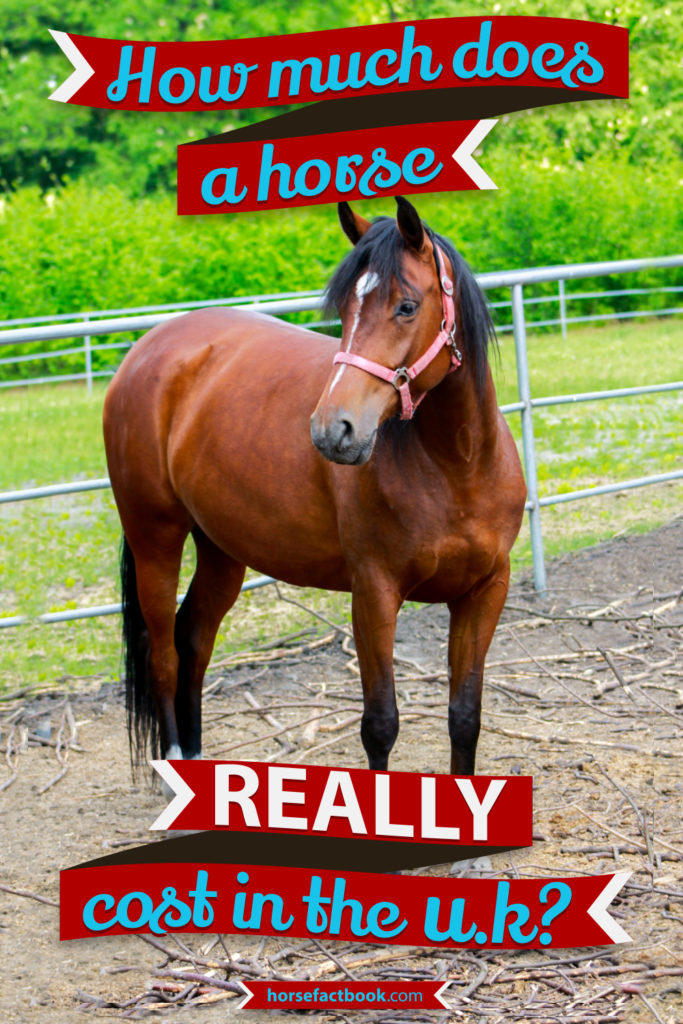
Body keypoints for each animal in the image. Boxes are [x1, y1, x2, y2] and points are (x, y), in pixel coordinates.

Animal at [103, 196, 526, 778]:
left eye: (407, 307)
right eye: (345, 313)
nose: (333, 430)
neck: (457, 468)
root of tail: (148, 348)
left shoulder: (485, 592)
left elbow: (465, 717)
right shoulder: (373, 593)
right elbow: (380, 725)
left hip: (221, 549)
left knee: (193, 640)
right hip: (156, 541)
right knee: (163, 654)